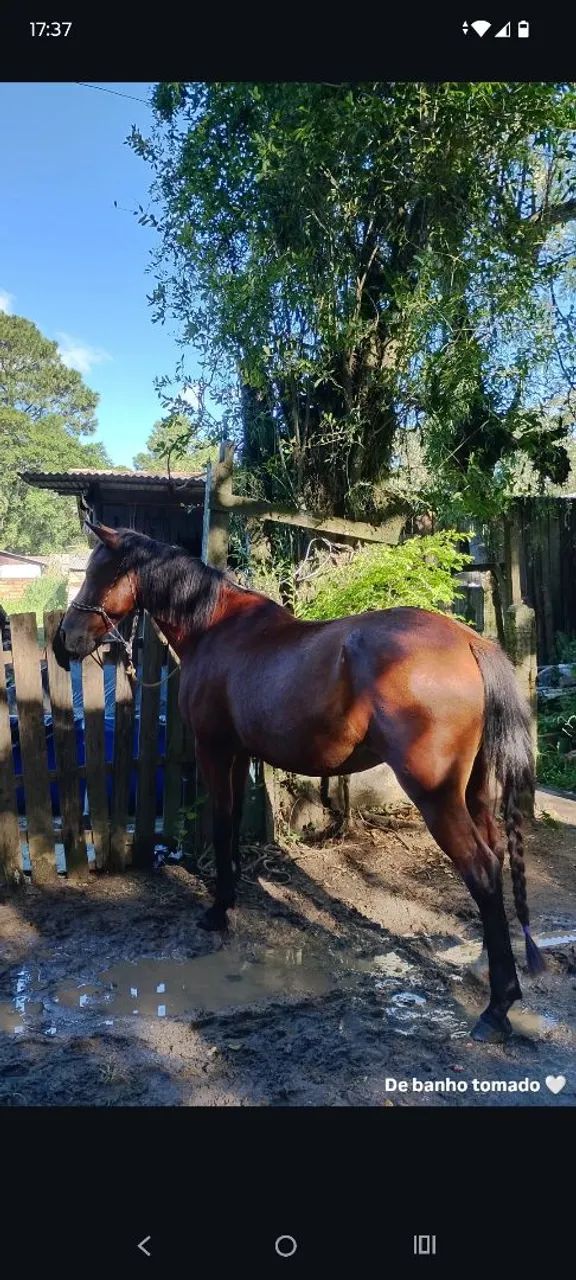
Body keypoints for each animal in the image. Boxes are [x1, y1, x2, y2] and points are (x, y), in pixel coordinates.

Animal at [53, 521, 545, 1044]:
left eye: (97, 572)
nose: (65, 643)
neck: (215, 629)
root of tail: (468, 641)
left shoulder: (215, 750)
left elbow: (222, 822)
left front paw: (218, 910)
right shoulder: (239, 754)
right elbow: (232, 822)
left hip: (436, 795)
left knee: (482, 869)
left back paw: (497, 1007)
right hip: (475, 792)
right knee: (496, 855)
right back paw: (488, 970)